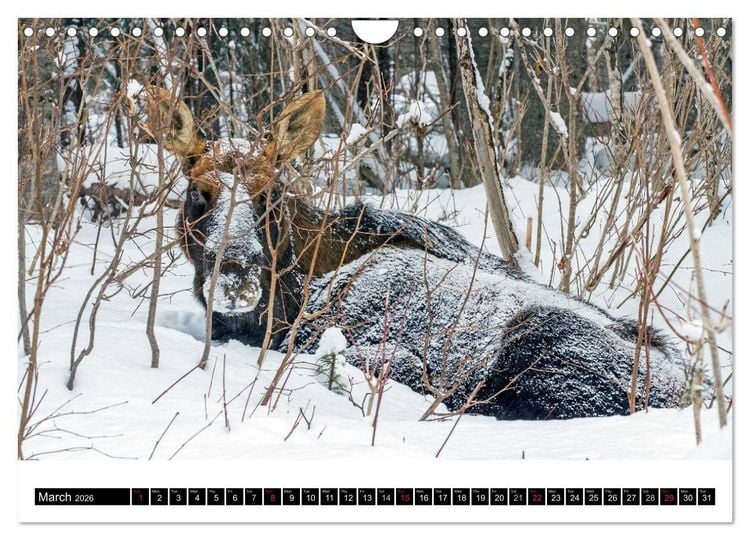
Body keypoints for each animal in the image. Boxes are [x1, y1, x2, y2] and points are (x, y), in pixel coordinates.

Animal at [134, 85, 687, 420]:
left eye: (269, 195)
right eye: (198, 192)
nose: (235, 275)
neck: (288, 293)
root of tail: (687, 389)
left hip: (540, 345)